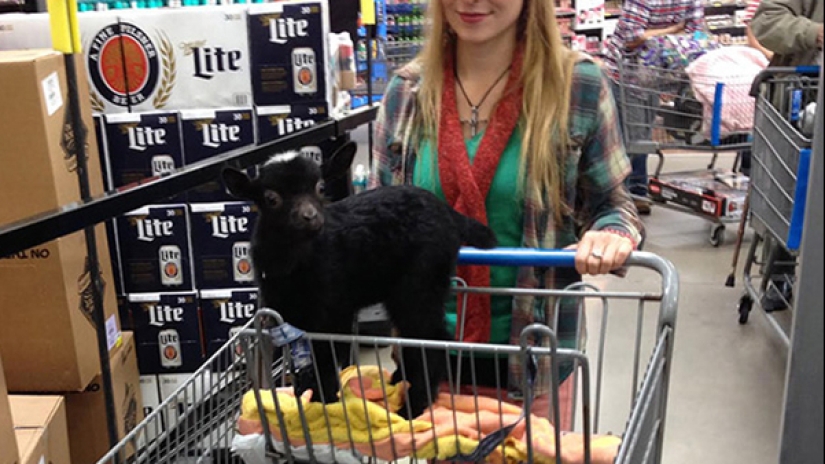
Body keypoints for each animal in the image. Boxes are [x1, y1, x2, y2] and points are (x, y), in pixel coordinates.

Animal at [220, 148, 496, 416]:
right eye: (271, 198)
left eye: (321, 187)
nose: (311, 216)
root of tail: (450, 214)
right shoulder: (286, 313)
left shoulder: (333, 311)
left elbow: (328, 360)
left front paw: (323, 407)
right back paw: (399, 380)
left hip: (421, 281)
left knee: (432, 339)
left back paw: (413, 406)